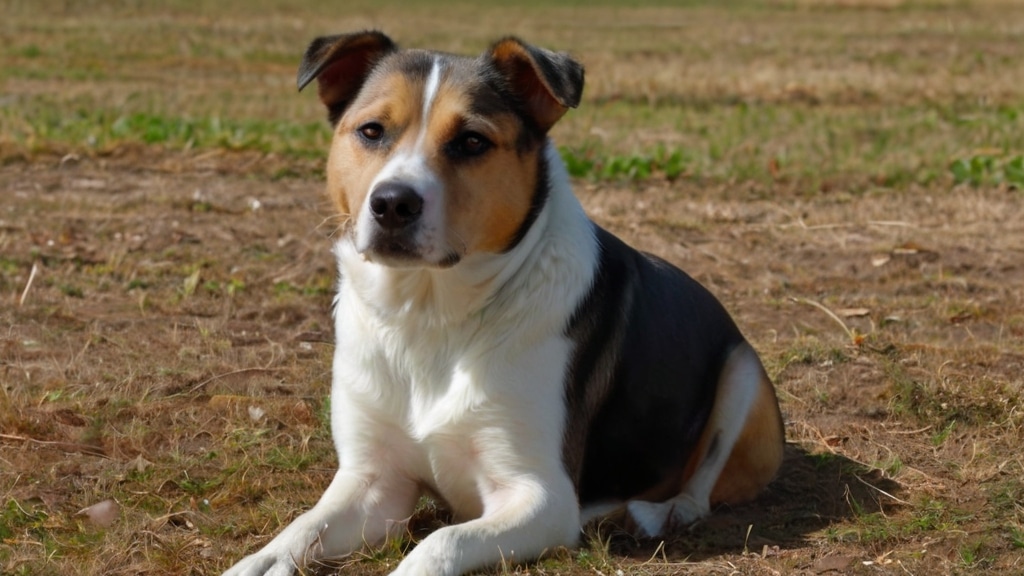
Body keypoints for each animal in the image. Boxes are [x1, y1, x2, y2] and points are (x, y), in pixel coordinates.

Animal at [224, 30, 782, 573]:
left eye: (472, 141)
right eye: (372, 131)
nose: (392, 204)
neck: (428, 315)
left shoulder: (541, 495)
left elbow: (440, 543)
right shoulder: (375, 481)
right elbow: (296, 532)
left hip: (742, 371)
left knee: (699, 493)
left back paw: (651, 513)